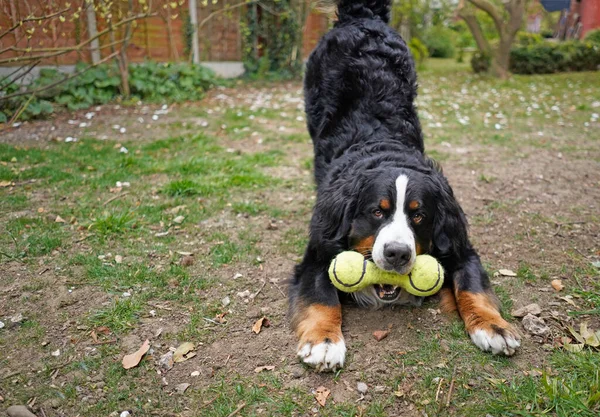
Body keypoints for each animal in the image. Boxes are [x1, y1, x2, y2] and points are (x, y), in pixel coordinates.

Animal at [288, 0, 520, 370]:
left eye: (419, 215)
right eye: (376, 212)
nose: (397, 253)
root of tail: (361, 17)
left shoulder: (460, 246)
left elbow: (472, 286)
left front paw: (494, 326)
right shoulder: (318, 251)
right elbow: (321, 296)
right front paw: (324, 341)